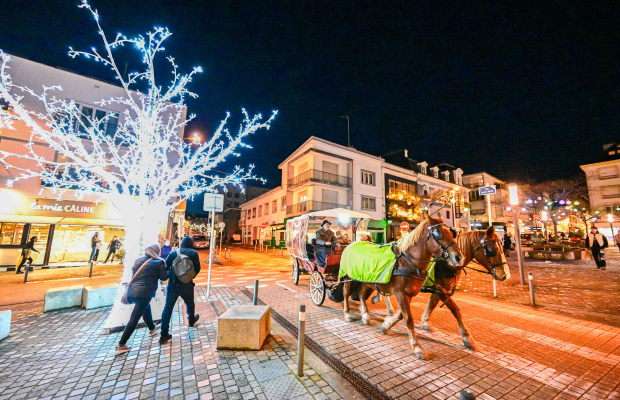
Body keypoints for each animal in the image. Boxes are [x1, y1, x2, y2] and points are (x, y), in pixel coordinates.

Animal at [340, 214, 464, 360]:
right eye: (438, 233)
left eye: (451, 233)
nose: (459, 257)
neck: (407, 261)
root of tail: (353, 243)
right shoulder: (400, 293)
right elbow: (408, 319)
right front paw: (417, 347)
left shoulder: (410, 293)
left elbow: (401, 315)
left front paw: (386, 325)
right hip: (347, 277)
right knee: (345, 293)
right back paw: (347, 314)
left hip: (366, 280)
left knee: (361, 294)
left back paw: (365, 315)